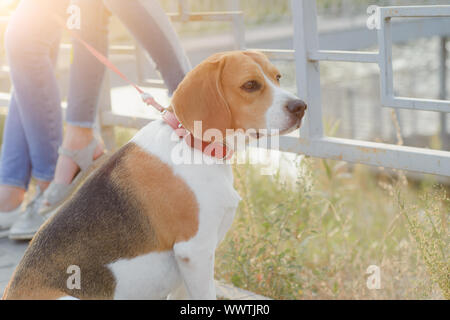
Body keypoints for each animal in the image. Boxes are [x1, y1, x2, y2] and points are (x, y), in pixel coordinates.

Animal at [2, 50, 306, 300]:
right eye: (250, 85)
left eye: (278, 77)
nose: (301, 106)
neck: (193, 143)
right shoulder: (194, 252)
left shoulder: (188, 265)